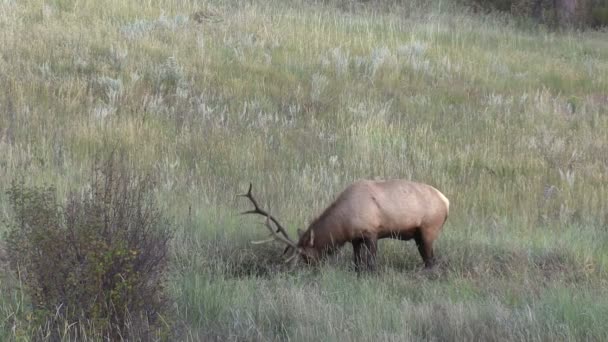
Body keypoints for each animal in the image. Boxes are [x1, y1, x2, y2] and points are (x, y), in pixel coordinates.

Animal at [238, 179, 446, 272]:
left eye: (307, 257)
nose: (315, 270)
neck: (343, 224)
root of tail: (447, 202)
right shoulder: (355, 239)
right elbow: (357, 263)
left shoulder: (372, 232)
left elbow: (371, 264)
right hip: (419, 235)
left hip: (429, 230)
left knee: (432, 260)